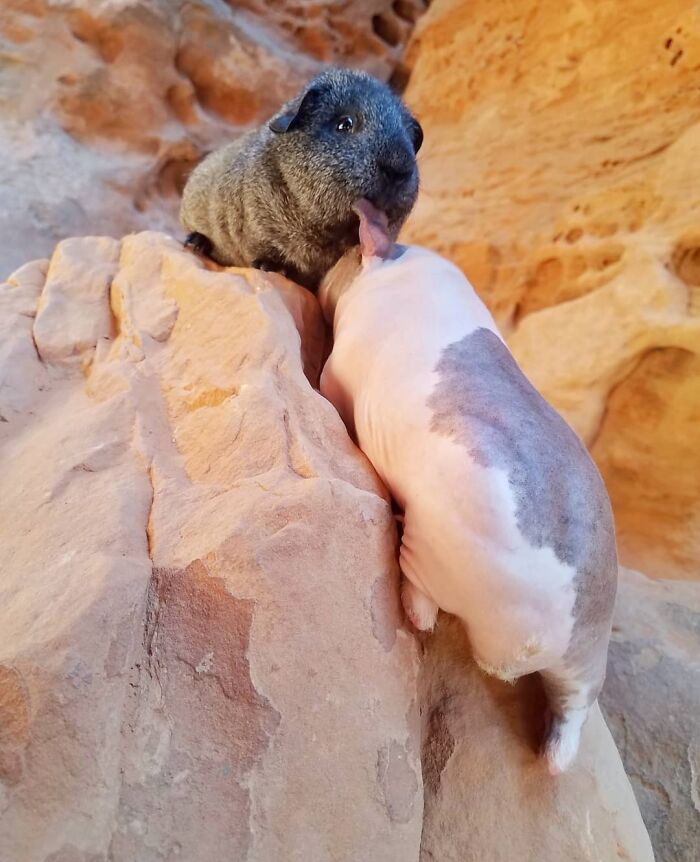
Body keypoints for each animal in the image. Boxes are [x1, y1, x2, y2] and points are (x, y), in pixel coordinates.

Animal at [318, 200, 618, 774]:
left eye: (344, 255)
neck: (397, 271)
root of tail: (544, 641)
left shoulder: (335, 377)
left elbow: (327, 388)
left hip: (433, 545)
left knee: (423, 603)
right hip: (587, 663)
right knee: (573, 715)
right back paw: (555, 753)